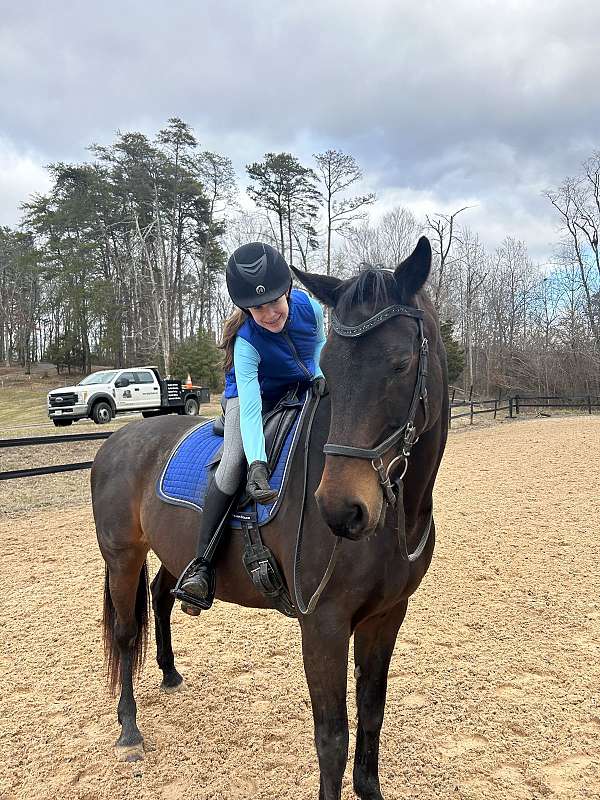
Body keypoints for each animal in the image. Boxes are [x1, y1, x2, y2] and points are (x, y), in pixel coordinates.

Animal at [92, 236, 448, 800]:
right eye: (331, 372)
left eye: (400, 363)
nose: (341, 509)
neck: (396, 517)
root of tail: (117, 440)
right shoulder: (324, 623)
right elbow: (332, 738)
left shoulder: (387, 615)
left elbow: (373, 713)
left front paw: (370, 788)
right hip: (121, 557)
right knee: (126, 633)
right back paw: (129, 729)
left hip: (171, 551)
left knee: (162, 597)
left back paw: (170, 671)